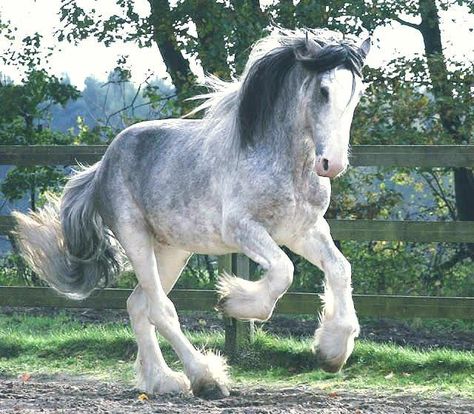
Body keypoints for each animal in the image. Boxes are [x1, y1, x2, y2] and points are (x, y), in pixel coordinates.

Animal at [13, 27, 370, 400]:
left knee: (138, 305)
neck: (281, 160)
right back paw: (205, 378)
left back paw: (161, 381)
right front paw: (232, 302)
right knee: (160, 309)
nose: (332, 164)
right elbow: (284, 271)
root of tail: (102, 166)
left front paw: (332, 352)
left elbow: (339, 268)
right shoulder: (242, 229)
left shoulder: (303, 230)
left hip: (172, 250)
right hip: (136, 239)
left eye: (358, 93)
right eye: (324, 90)